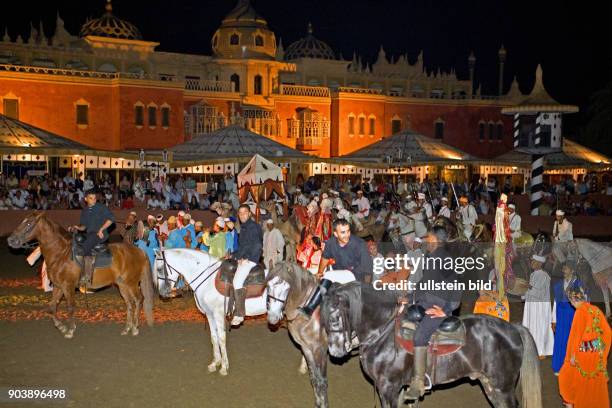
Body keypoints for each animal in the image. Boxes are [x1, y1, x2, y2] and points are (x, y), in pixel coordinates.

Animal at [7, 214, 154, 338]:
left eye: (28, 223)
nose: (11, 240)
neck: (61, 253)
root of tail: (139, 251)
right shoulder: (58, 286)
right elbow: (52, 306)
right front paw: (60, 326)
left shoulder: (68, 286)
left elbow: (70, 307)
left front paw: (70, 330)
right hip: (122, 285)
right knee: (129, 303)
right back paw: (127, 328)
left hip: (131, 283)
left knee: (139, 300)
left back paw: (135, 328)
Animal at [266, 262, 334, 408]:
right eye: (268, 285)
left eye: (287, 287)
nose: (273, 317)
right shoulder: (307, 348)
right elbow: (314, 379)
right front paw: (318, 403)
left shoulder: (320, 350)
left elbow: (322, 382)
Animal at [320, 284, 540, 408]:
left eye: (336, 316)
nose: (335, 351)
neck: (382, 332)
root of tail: (513, 328)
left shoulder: (388, 388)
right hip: (490, 385)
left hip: (503, 388)